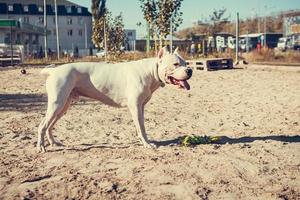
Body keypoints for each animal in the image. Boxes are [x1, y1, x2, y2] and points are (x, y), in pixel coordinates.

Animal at [37, 47, 192, 152]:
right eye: (175, 64)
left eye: (186, 63)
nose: (190, 70)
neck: (150, 71)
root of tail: (54, 70)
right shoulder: (135, 107)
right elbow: (141, 127)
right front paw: (147, 144)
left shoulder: (140, 107)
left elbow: (140, 126)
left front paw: (142, 141)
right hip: (57, 104)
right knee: (42, 125)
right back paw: (41, 147)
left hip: (63, 106)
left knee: (49, 125)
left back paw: (54, 143)